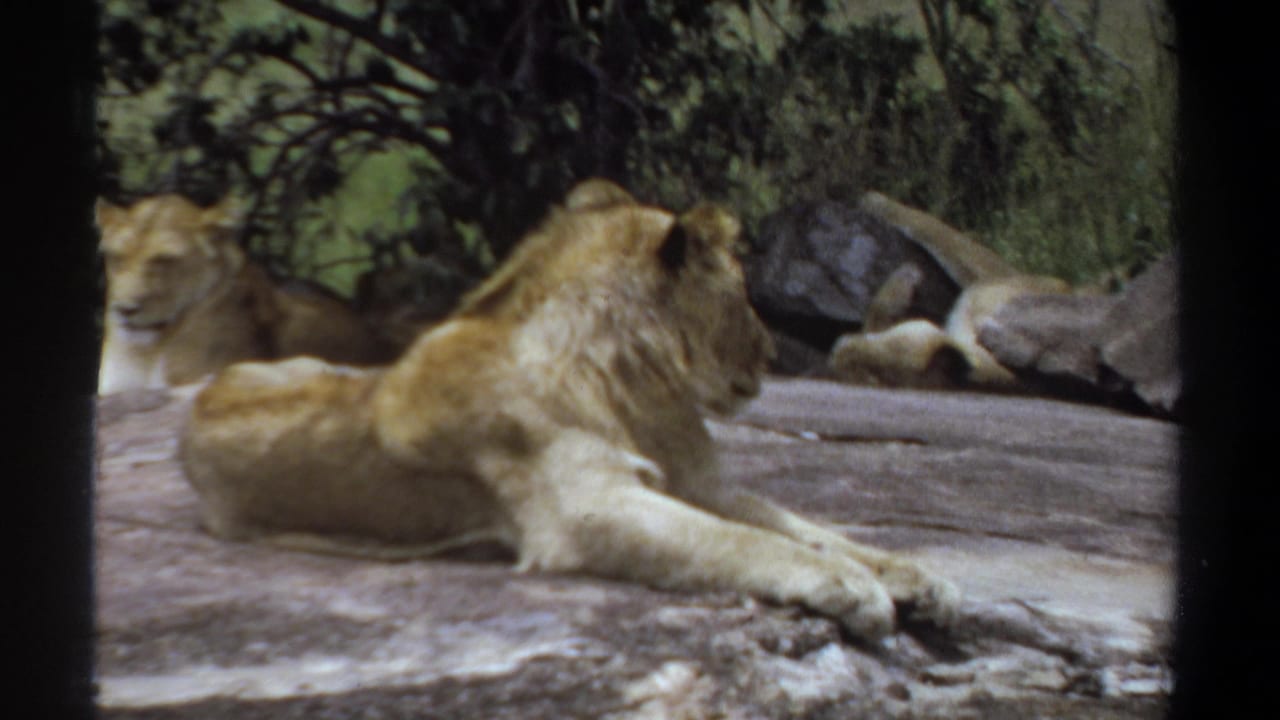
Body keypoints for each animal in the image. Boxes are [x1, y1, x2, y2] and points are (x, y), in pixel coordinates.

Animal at [179, 179, 959, 641]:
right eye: (745, 295)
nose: (772, 353)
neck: (635, 383)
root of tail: (204, 396)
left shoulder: (698, 483)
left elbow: (809, 527)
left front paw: (916, 576)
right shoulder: (585, 507)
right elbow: (747, 543)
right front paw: (852, 589)